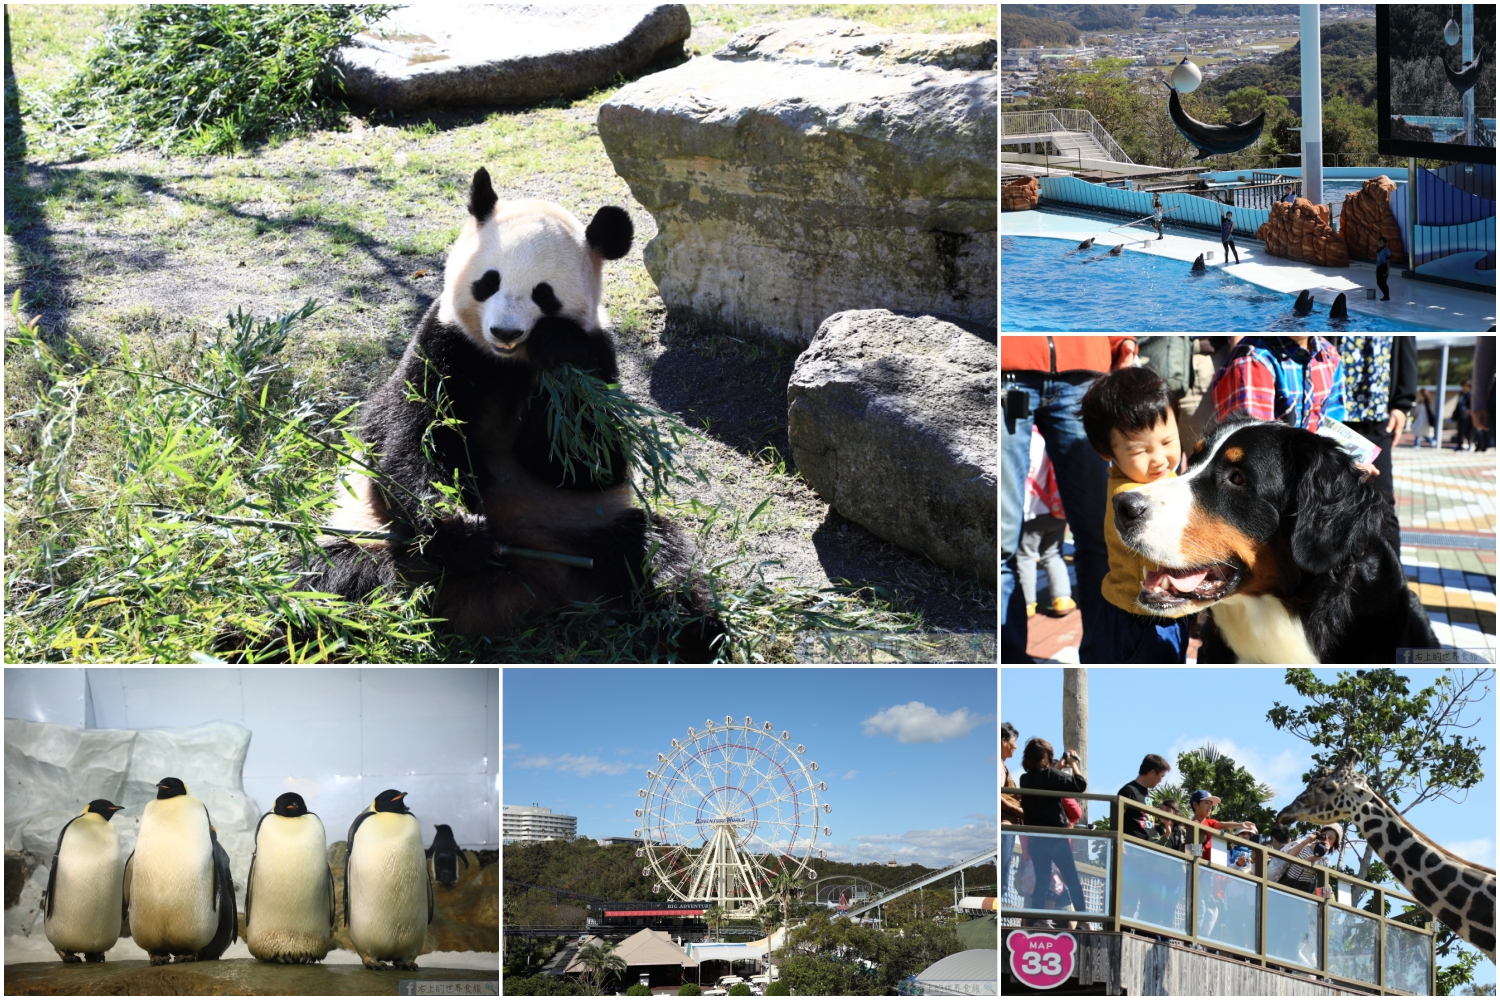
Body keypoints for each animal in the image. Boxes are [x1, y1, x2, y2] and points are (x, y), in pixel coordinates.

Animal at [301, 167, 717, 659]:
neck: (506, 363)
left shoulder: (597, 361)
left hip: (585, 530)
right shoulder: (443, 345)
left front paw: (556, 345)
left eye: (544, 294)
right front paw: (456, 525)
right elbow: (411, 436)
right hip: (368, 536)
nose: (505, 331)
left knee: (658, 559)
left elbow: (587, 461)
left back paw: (692, 635)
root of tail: (516, 586)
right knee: (335, 583)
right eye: (489, 281)